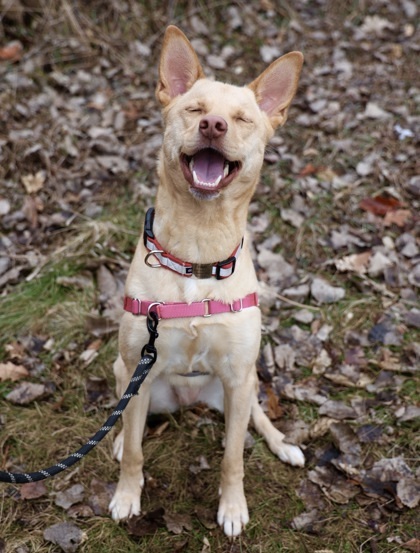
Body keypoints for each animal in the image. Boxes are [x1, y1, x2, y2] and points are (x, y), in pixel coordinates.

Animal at [110, 24, 304, 536]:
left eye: (241, 119)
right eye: (195, 110)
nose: (214, 126)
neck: (198, 252)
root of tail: (191, 396)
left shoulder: (238, 376)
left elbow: (233, 458)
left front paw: (232, 508)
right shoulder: (139, 368)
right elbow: (135, 451)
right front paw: (126, 494)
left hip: (245, 384)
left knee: (256, 415)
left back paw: (283, 443)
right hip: (128, 374)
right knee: (125, 418)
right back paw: (113, 439)